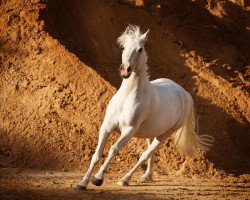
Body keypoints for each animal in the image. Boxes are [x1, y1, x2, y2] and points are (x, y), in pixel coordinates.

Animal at [74, 25, 213, 191]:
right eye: (123, 47)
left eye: (140, 49)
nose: (125, 70)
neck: (128, 97)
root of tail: (184, 93)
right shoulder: (107, 126)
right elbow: (97, 154)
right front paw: (82, 183)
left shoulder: (129, 130)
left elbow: (114, 149)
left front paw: (98, 179)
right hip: (151, 132)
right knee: (150, 153)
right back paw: (147, 176)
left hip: (165, 134)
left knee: (146, 154)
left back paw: (125, 179)